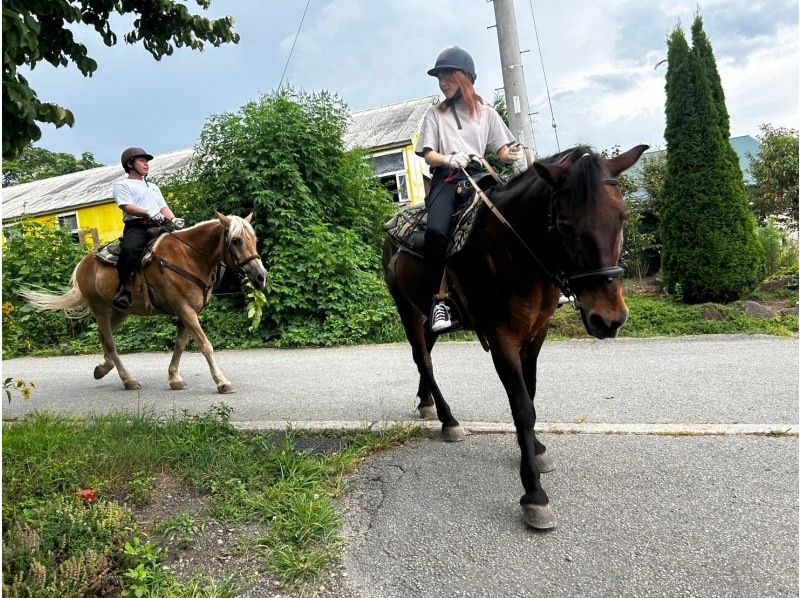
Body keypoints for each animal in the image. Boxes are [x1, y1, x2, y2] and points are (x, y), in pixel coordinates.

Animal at [20, 213, 266, 396]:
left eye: (254, 240)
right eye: (236, 240)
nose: (261, 277)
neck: (189, 257)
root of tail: (83, 263)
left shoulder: (189, 312)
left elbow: (180, 345)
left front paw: (174, 378)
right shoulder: (185, 310)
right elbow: (205, 345)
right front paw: (222, 382)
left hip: (120, 312)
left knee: (103, 337)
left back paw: (103, 368)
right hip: (100, 309)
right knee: (109, 342)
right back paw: (128, 379)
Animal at [382, 145, 648, 528]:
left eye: (622, 217)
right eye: (564, 226)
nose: (609, 320)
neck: (513, 252)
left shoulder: (536, 335)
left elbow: (531, 395)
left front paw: (535, 450)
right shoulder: (501, 337)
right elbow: (522, 407)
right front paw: (534, 494)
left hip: (422, 311)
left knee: (425, 357)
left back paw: (426, 402)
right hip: (405, 306)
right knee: (423, 358)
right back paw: (449, 420)